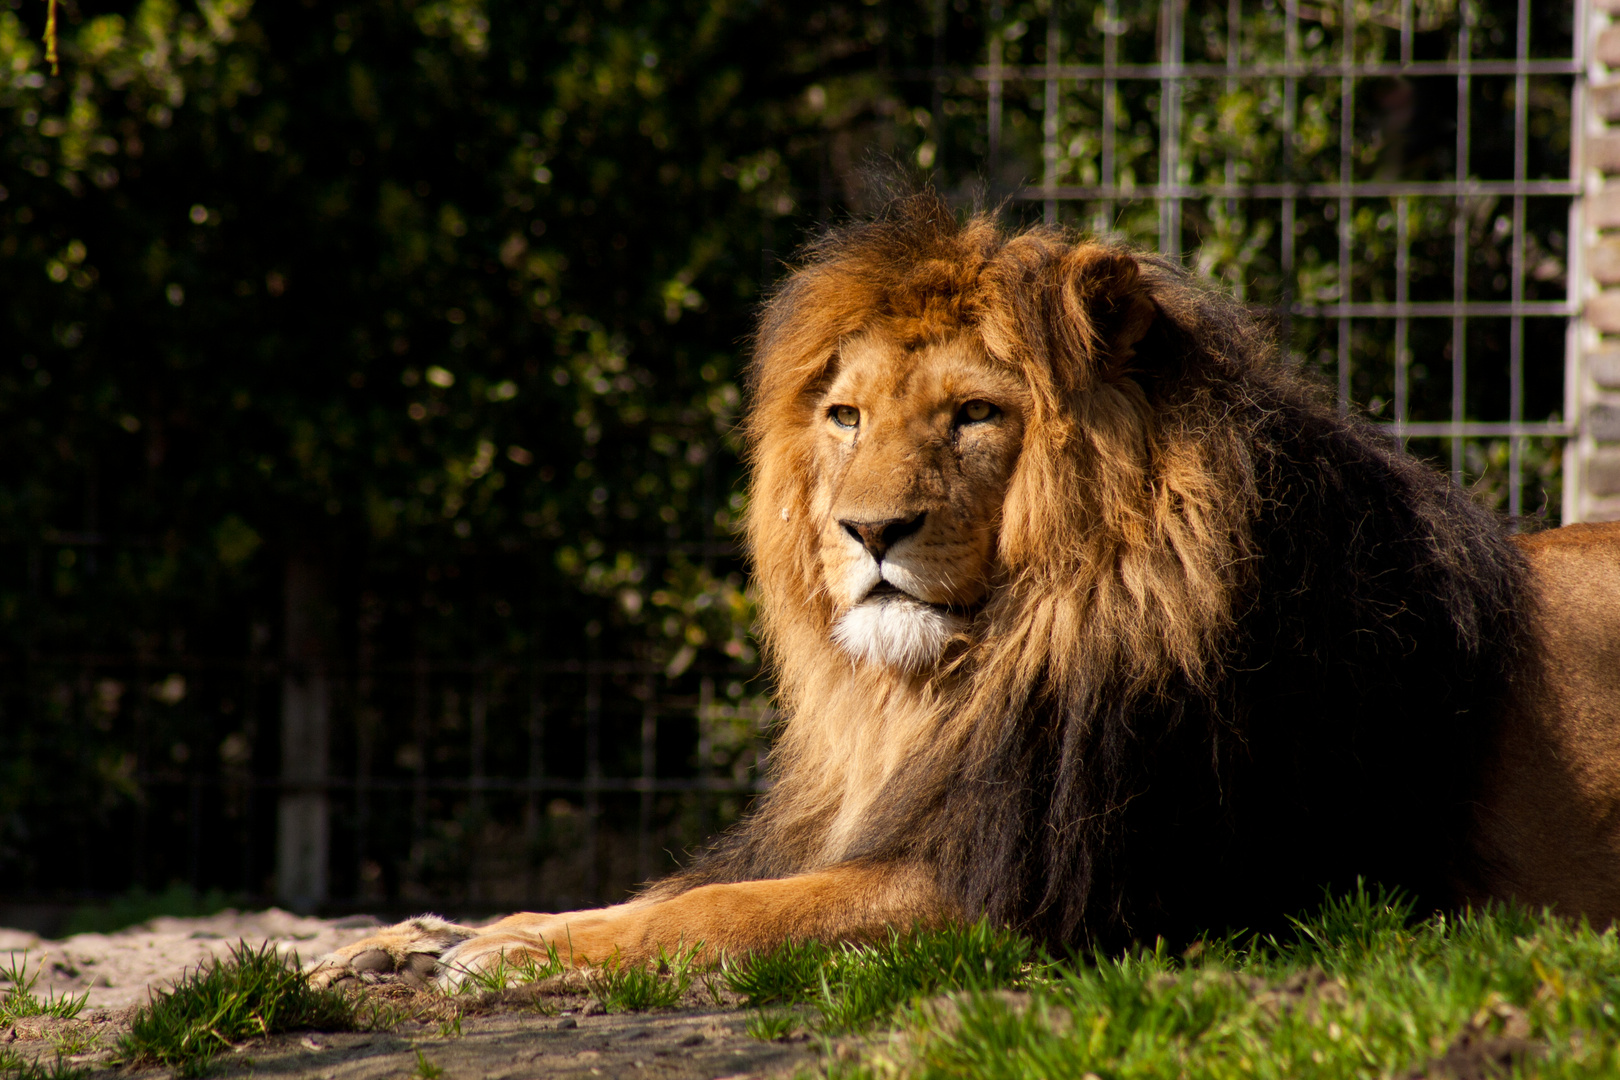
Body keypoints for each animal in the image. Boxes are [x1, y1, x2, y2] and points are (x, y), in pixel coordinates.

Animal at [309, 191, 1620, 990]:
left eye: (976, 416)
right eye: (844, 417)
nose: (870, 530)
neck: (972, 668)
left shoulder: (1025, 898)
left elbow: (725, 911)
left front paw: (511, 953)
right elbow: (676, 885)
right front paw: (404, 942)